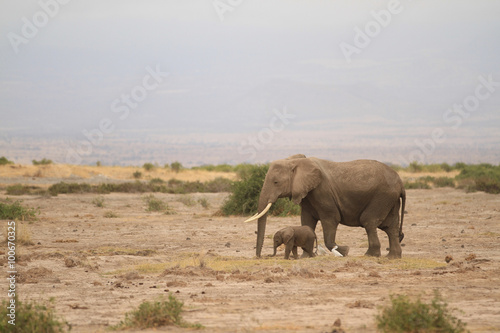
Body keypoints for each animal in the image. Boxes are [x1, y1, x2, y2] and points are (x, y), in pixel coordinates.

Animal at [246, 154, 406, 258]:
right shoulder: (307, 195)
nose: (260, 257)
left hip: (382, 197)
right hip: (390, 199)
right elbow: (307, 221)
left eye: (276, 182)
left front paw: (344, 251)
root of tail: (401, 183)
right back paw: (392, 257)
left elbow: (330, 219)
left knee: (369, 221)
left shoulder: (322, 192)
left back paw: (370, 255)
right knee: (390, 227)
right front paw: (306, 256)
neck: (296, 161)